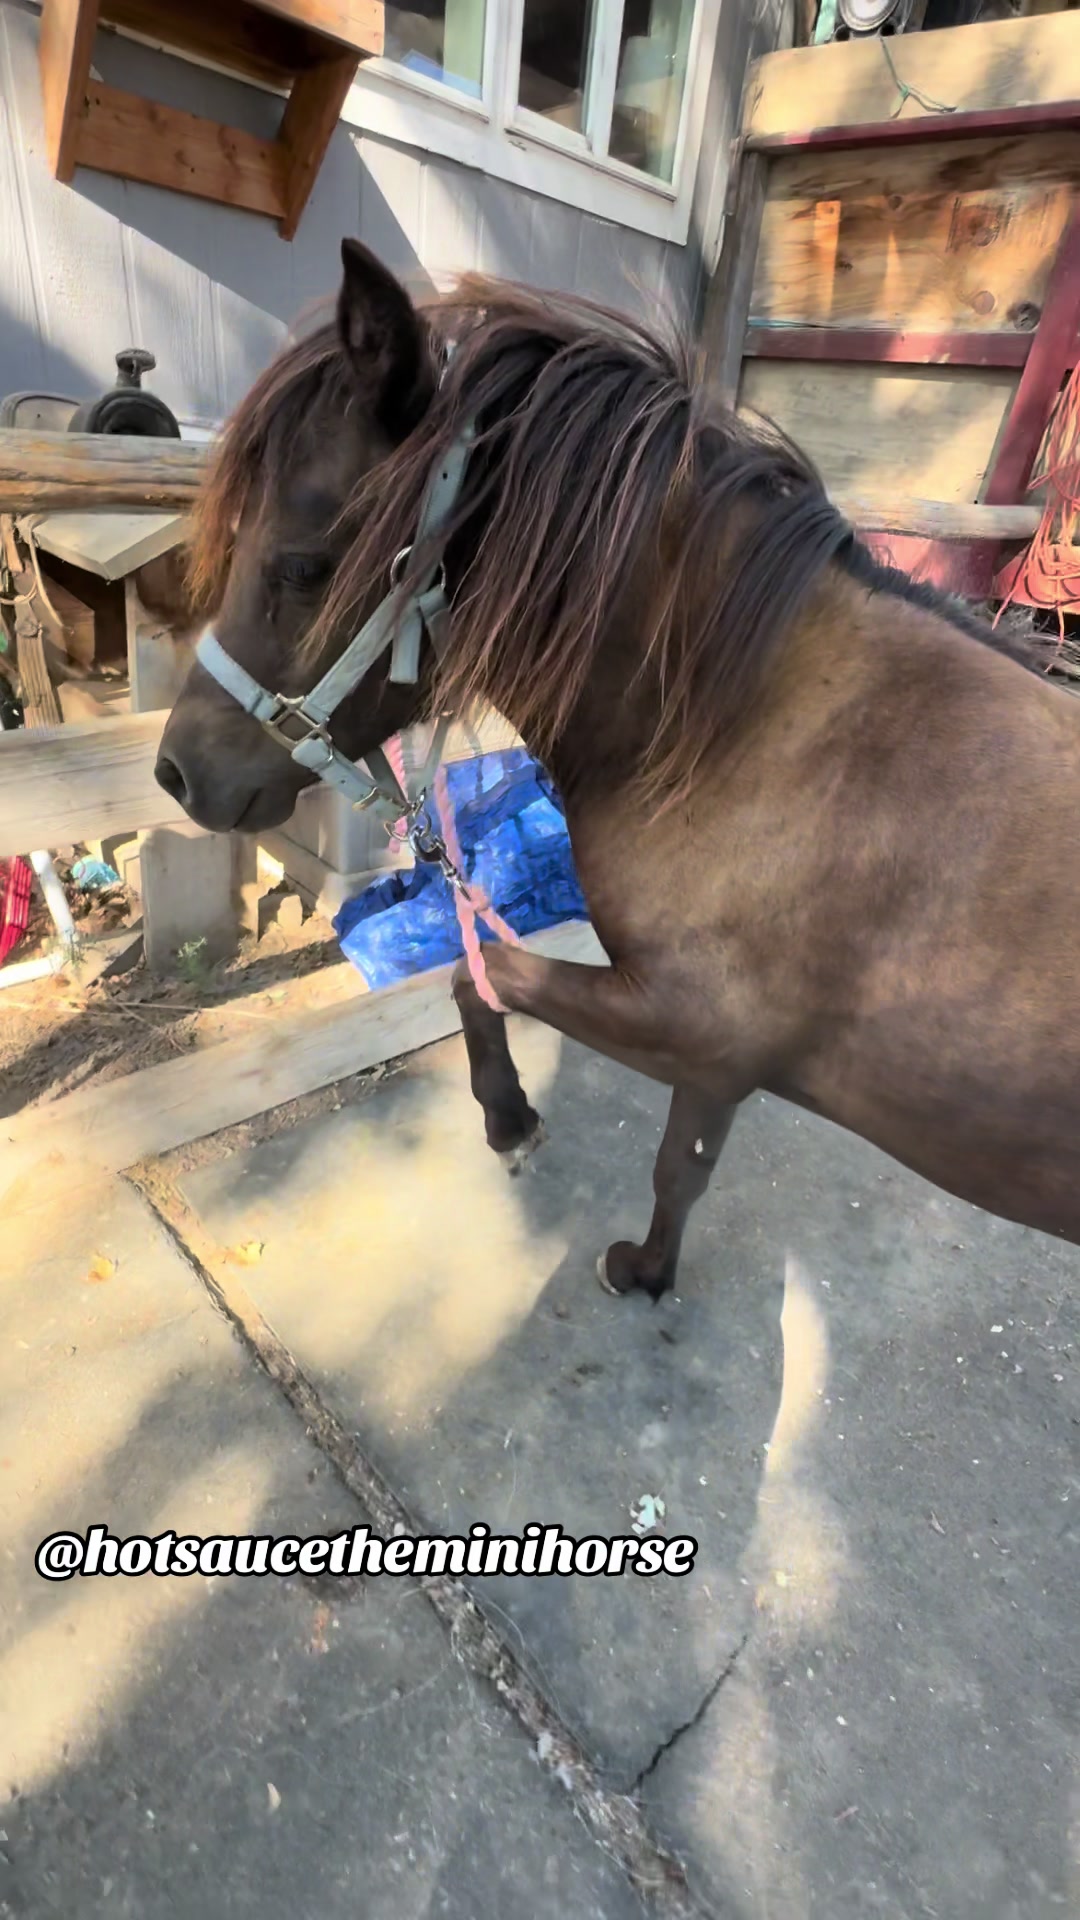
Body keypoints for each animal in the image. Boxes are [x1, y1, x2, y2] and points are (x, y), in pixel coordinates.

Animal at [156, 239, 1080, 1299]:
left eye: (304, 566)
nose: (175, 772)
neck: (761, 731)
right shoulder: (713, 1059)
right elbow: (685, 1162)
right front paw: (649, 1266)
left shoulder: (688, 1025)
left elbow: (481, 977)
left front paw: (516, 1127)